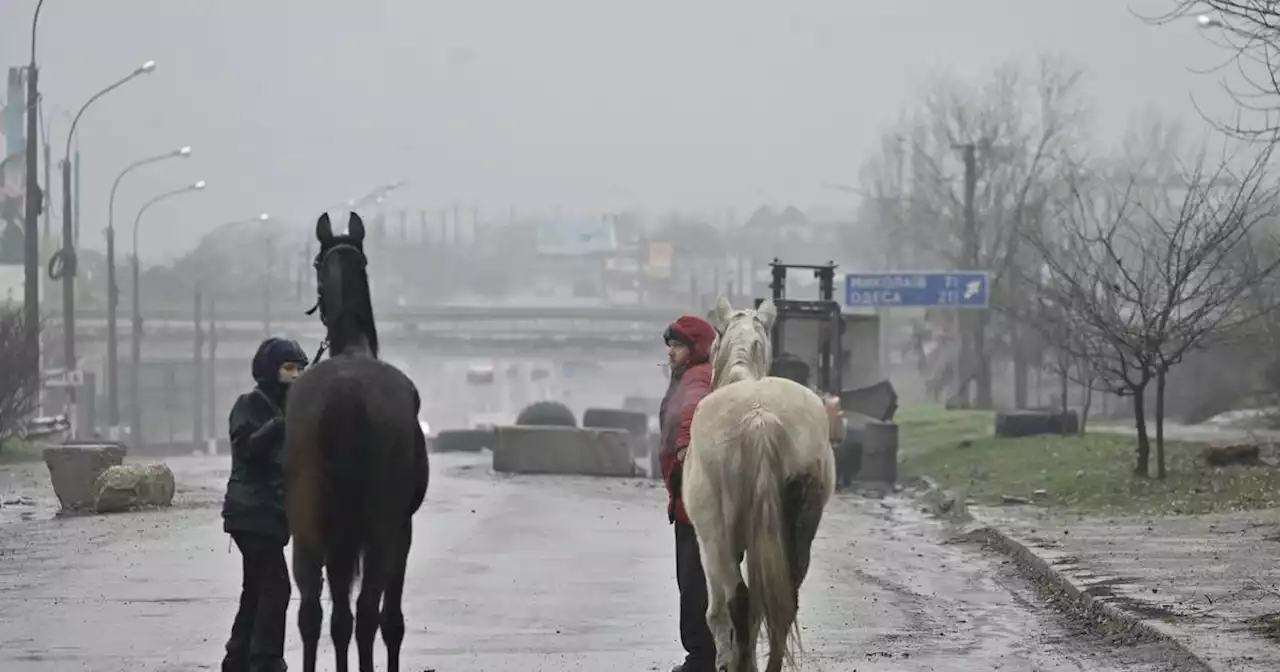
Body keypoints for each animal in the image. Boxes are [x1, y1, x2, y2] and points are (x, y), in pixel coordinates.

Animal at [282, 211, 427, 670]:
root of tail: (345, 394)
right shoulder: (402, 529)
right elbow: (389, 620)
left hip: (309, 526)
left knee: (314, 612)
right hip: (380, 528)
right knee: (365, 613)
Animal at [686, 296, 834, 670]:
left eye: (715, 336)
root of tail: (760, 418)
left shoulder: (709, 543)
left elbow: (719, 612)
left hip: (716, 534)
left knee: (737, 601)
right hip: (798, 527)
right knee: (784, 599)